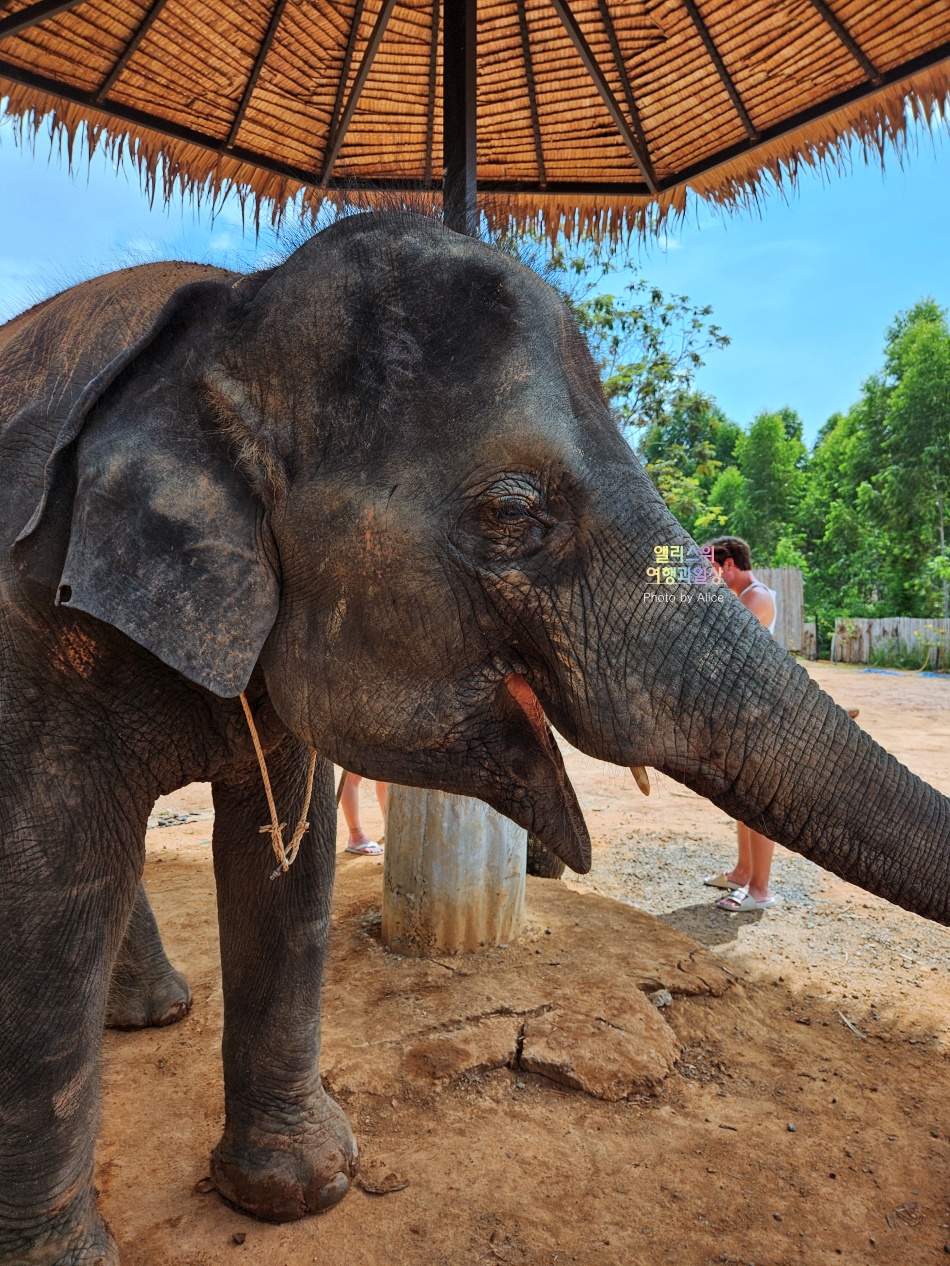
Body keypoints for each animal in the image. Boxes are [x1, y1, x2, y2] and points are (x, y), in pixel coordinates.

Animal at [1, 212, 950, 1260]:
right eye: (510, 513)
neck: (237, 318)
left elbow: (286, 867)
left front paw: (304, 1190)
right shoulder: (28, 617)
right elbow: (55, 890)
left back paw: (154, 1015)